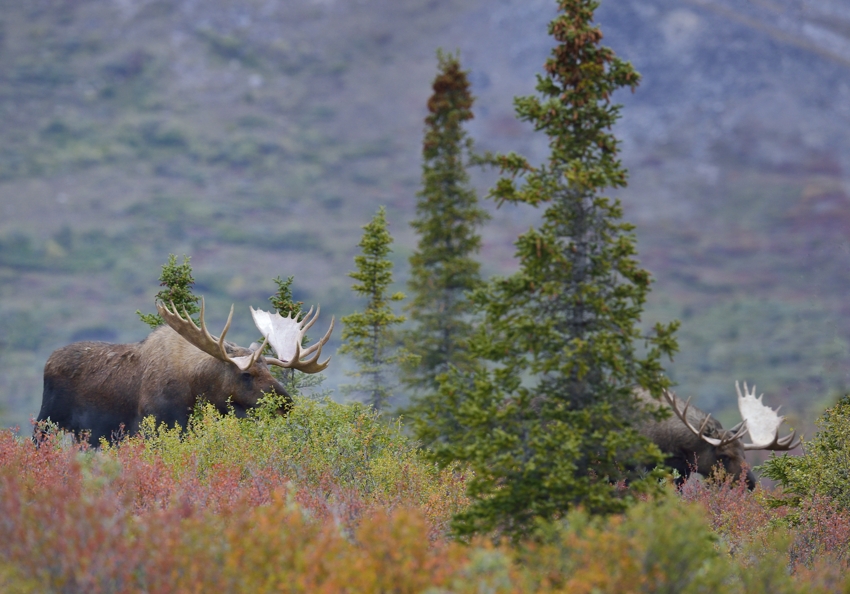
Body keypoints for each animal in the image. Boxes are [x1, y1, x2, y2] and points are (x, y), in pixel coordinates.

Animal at [37, 298, 334, 442]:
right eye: (246, 374)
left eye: (270, 372)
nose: (286, 403)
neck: (196, 391)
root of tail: (48, 361)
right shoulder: (153, 427)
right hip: (46, 422)